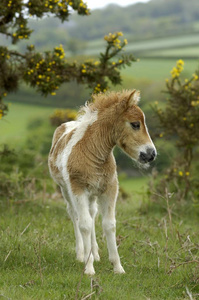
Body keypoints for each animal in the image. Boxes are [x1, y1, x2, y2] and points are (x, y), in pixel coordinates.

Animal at [48, 89, 157, 274]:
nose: (151, 154)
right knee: (75, 214)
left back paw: (95, 253)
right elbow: (84, 224)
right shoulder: (78, 188)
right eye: (135, 124)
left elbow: (109, 224)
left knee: (92, 214)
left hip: (93, 193)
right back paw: (81, 254)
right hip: (66, 189)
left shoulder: (110, 188)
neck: (92, 152)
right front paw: (89, 268)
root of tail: (67, 123)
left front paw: (117, 267)